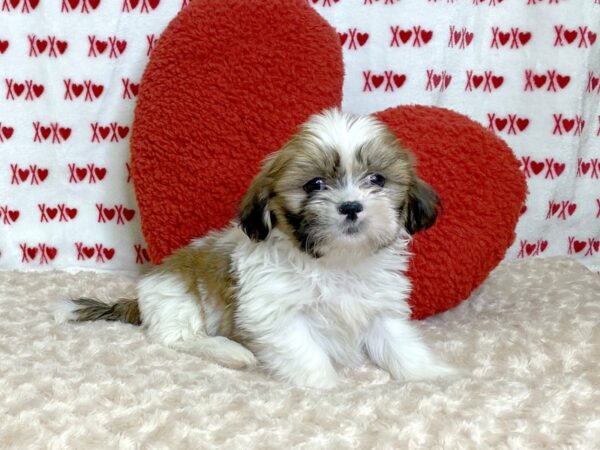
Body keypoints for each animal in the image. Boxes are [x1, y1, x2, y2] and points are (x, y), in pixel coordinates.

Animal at [58, 107, 458, 388]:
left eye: (377, 179)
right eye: (314, 184)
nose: (350, 206)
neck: (335, 263)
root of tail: (142, 294)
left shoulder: (379, 307)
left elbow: (398, 342)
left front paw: (428, 374)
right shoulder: (277, 314)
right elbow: (305, 352)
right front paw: (326, 387)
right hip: (176, 298)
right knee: (177, 337)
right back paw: (231, 352)